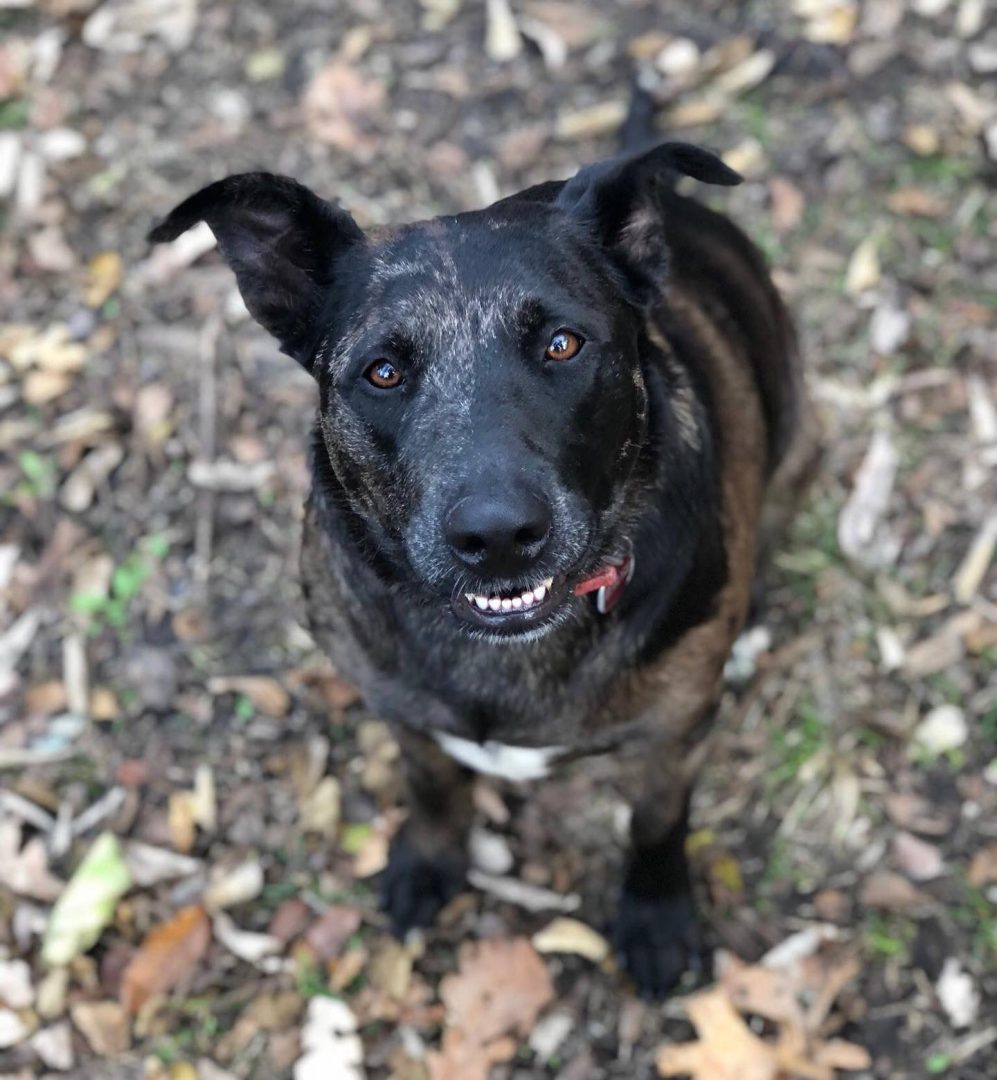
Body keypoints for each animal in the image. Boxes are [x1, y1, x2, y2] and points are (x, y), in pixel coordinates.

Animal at [147, 101, 816, 993]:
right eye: (383, 372)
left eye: (562, 344)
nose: (496, 536)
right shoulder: (401, 710)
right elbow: (432, 787)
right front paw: (431, 861)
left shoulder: (671, 740)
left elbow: (655, 823)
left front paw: (655, 914)